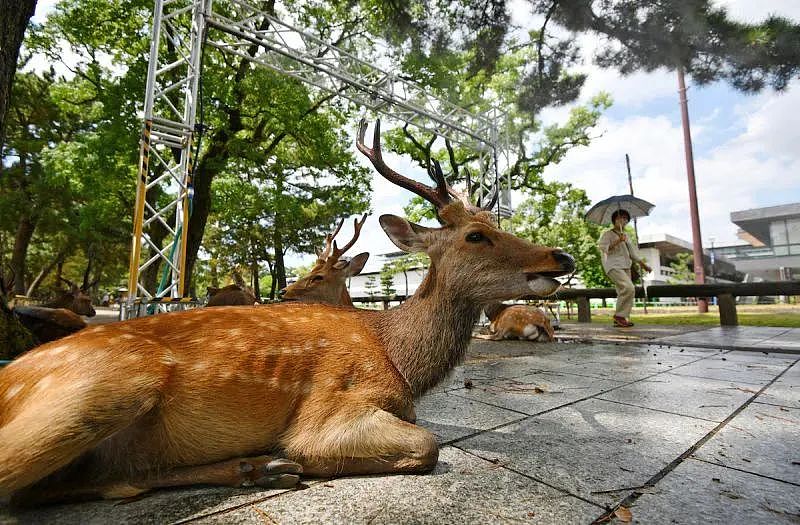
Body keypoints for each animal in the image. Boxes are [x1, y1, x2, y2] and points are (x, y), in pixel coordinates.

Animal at [0, 119, 576, 508]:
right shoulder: (333, 405)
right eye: (477, 235)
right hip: (109, 383)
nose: (563, 257)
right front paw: (302, 460)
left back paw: (259, 469)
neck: (398, 359)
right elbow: (425, 444)